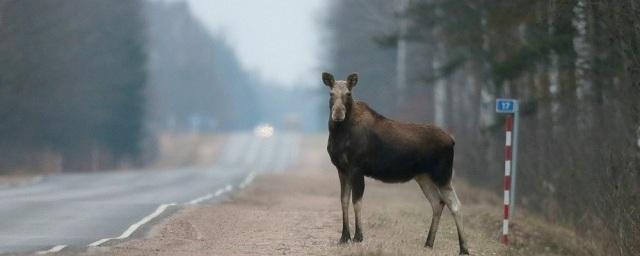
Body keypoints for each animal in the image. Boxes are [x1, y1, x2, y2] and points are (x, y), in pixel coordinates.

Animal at [324, 71, 470, 254]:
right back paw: (428, 243)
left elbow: (356, 201)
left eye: (348, 94)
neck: (339, 134)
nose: (338, 114)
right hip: (423, 176)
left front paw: (358, 237)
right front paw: (344, 237)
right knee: (438, 202)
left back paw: (463, 248)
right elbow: (343, 200)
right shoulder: (342, 169)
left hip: (442, 174)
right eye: (331, 93)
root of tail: (452, 141)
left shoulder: (356, 168)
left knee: (456, 205)